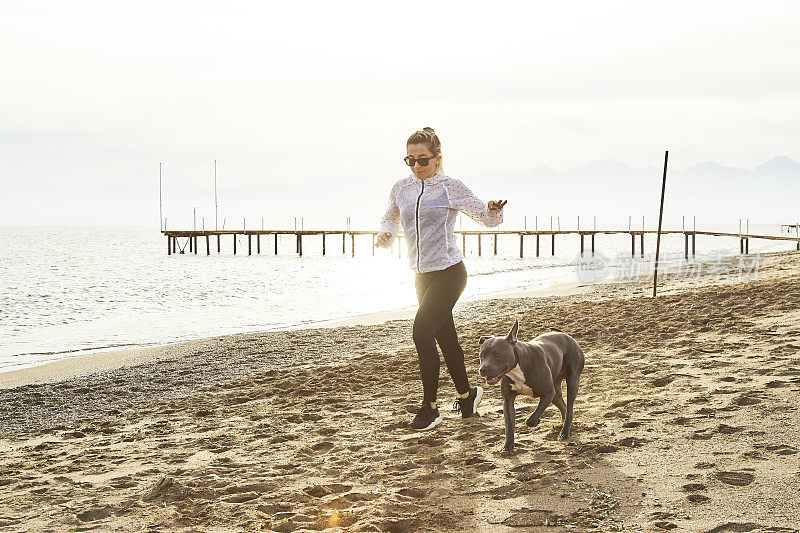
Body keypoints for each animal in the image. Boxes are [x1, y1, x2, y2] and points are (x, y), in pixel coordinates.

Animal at [478, 318, 584, 450]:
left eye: (498, 354)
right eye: (481, 355)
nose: (483, 369)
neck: (517, 368)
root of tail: (567, 336)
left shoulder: (548, 394)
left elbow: (531, 419)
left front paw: (535, 421)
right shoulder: (508, 401)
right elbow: (509, 424)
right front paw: (508, 446)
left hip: (572, 381)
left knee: (569, 408)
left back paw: (564, 433)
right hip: (556, 391)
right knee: (563, 406)